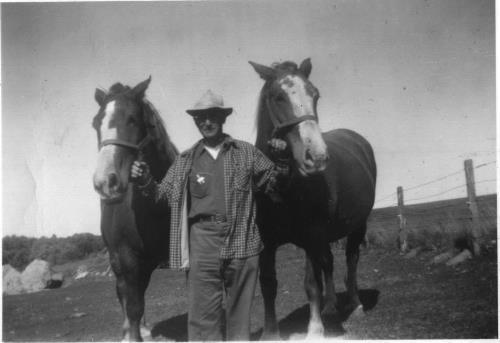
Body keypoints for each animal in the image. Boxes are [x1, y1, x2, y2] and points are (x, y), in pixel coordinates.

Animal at [92, 76, 178, 342]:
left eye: (132, 119)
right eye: (95, 123)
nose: (105, 182)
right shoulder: (127, 256)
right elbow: (132, 304)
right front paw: (132, 333)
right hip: (119, 260)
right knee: (125, 293)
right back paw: (129, 330)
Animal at [250, 57, 376, 340]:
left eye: (315, 95)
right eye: (278, 97)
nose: (316, 157)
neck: (282, 188)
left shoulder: (310, 237)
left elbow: (311, 284)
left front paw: (315, 330)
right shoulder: (268, 244)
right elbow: (268, 284)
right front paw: (270, 333)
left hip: (357, 226)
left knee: (351, 260)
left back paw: (355, 304)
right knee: (328, 263)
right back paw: (330, 306)